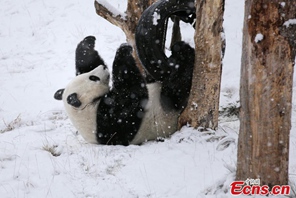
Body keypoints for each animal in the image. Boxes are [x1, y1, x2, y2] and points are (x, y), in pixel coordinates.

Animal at [54, 41, 194, 145]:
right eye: (93, 78)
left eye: (90, 75)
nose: (103, 67)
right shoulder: (107, 122)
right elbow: (132, 94)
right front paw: (123, 50)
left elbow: (86, 63)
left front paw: (87, 44)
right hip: (167, 113)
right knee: (175, 89)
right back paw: (183, 52)